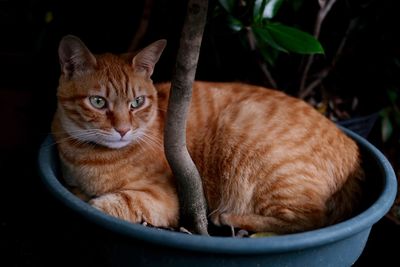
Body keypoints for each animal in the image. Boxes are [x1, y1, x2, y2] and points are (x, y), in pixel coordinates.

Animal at [51, 35, 364, 234]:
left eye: (137, 103)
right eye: (98, 102)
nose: (123, 130)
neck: (86, 156)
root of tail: (353, 150)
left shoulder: (163, 198)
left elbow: (108, 204)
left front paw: (92, 200)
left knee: (312, 220)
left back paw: (230, 218)